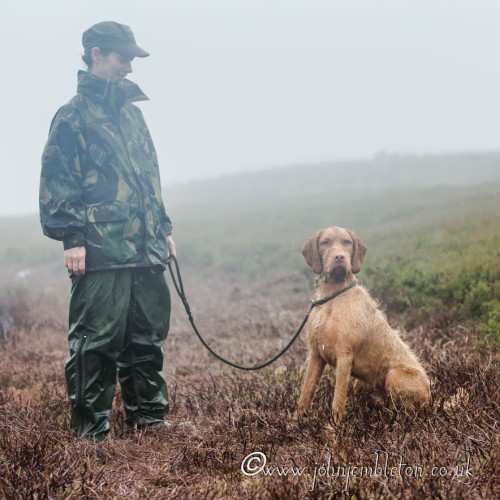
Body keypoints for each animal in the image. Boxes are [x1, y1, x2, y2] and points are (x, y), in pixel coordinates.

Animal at [294, 225, 432, 424]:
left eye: (347, 242)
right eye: (325, 242)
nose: (339, 257)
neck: (333, 296)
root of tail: (431, 397)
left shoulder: (344, 356)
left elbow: (338, 400)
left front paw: (334, 428)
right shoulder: (315, 355)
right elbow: (305, 394)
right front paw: (293, 423)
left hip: (393, 375)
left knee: (407, 414)